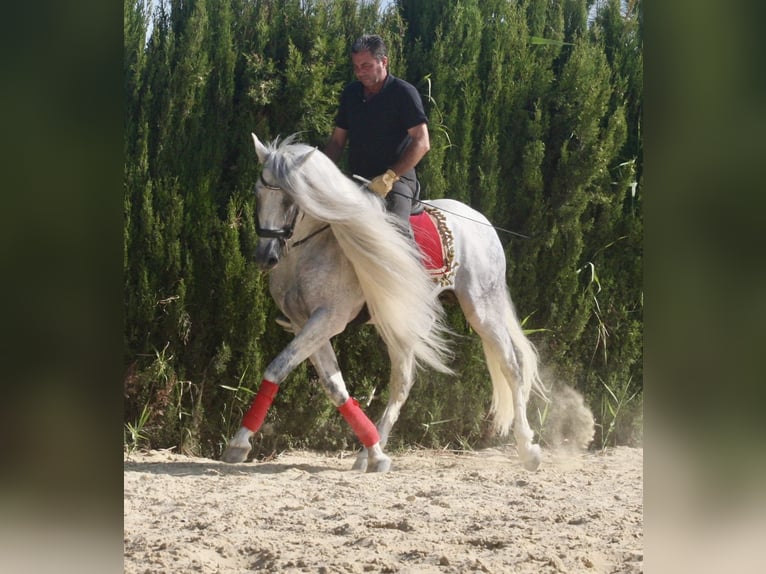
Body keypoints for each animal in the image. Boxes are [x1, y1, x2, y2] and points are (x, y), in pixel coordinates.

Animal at [221, 133, 548, 472]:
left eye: (289, 199)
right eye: (258, 193)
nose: (265, 257)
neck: (311, 248)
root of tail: (480, 221)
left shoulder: (328, 318)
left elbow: (276, 368)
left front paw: (239, 443)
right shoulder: (306, 324)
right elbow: (335, 387)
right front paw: (375, 452)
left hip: (483, 309)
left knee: (511, 367)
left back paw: (527, 448)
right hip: (400, 321)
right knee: (402, 384)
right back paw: (368, 452)